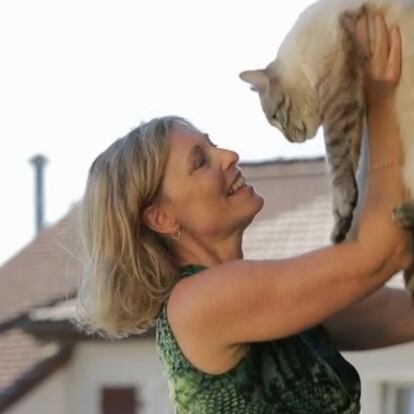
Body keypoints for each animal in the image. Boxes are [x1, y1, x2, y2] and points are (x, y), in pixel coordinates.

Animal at [238, 0, 414, 292]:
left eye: (275, 118)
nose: (289, 139)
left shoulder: (337, 93)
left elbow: (336, 162)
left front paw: (343, 210)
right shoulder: (354, 100)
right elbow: (346, 165)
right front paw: (340, 226)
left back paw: (403, 215)